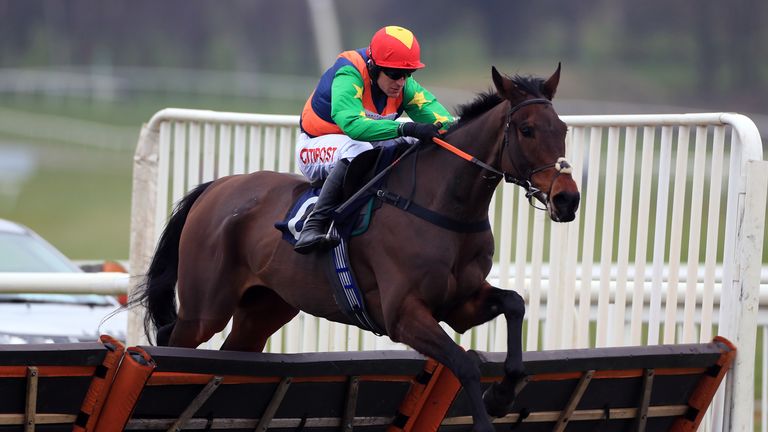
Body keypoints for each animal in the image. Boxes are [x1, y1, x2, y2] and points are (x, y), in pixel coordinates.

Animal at [135, 65, 580, 432]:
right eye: (526, 130)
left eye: (562, 129)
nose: (568, 200)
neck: (441, 206)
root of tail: (218, 186)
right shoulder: (403, 314)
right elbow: (465, 363)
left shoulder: (460, 304)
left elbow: (515, 304)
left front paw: (503, 395)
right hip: (206, 309)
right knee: (176, 341)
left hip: (263, 309)